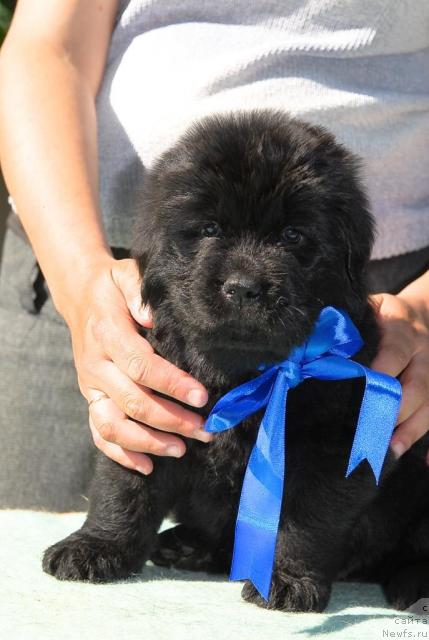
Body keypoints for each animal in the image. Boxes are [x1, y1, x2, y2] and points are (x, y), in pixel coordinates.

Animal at [42, 111, 428, 616]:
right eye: (209, 229)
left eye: (292, 235)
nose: (244, 287)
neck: (243, 370)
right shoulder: (144, 410)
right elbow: (124, 485)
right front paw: (94, 547)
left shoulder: (334, 443)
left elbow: (303, 518)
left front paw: (285, 580)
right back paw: (189, 545)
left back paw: (414, 583)